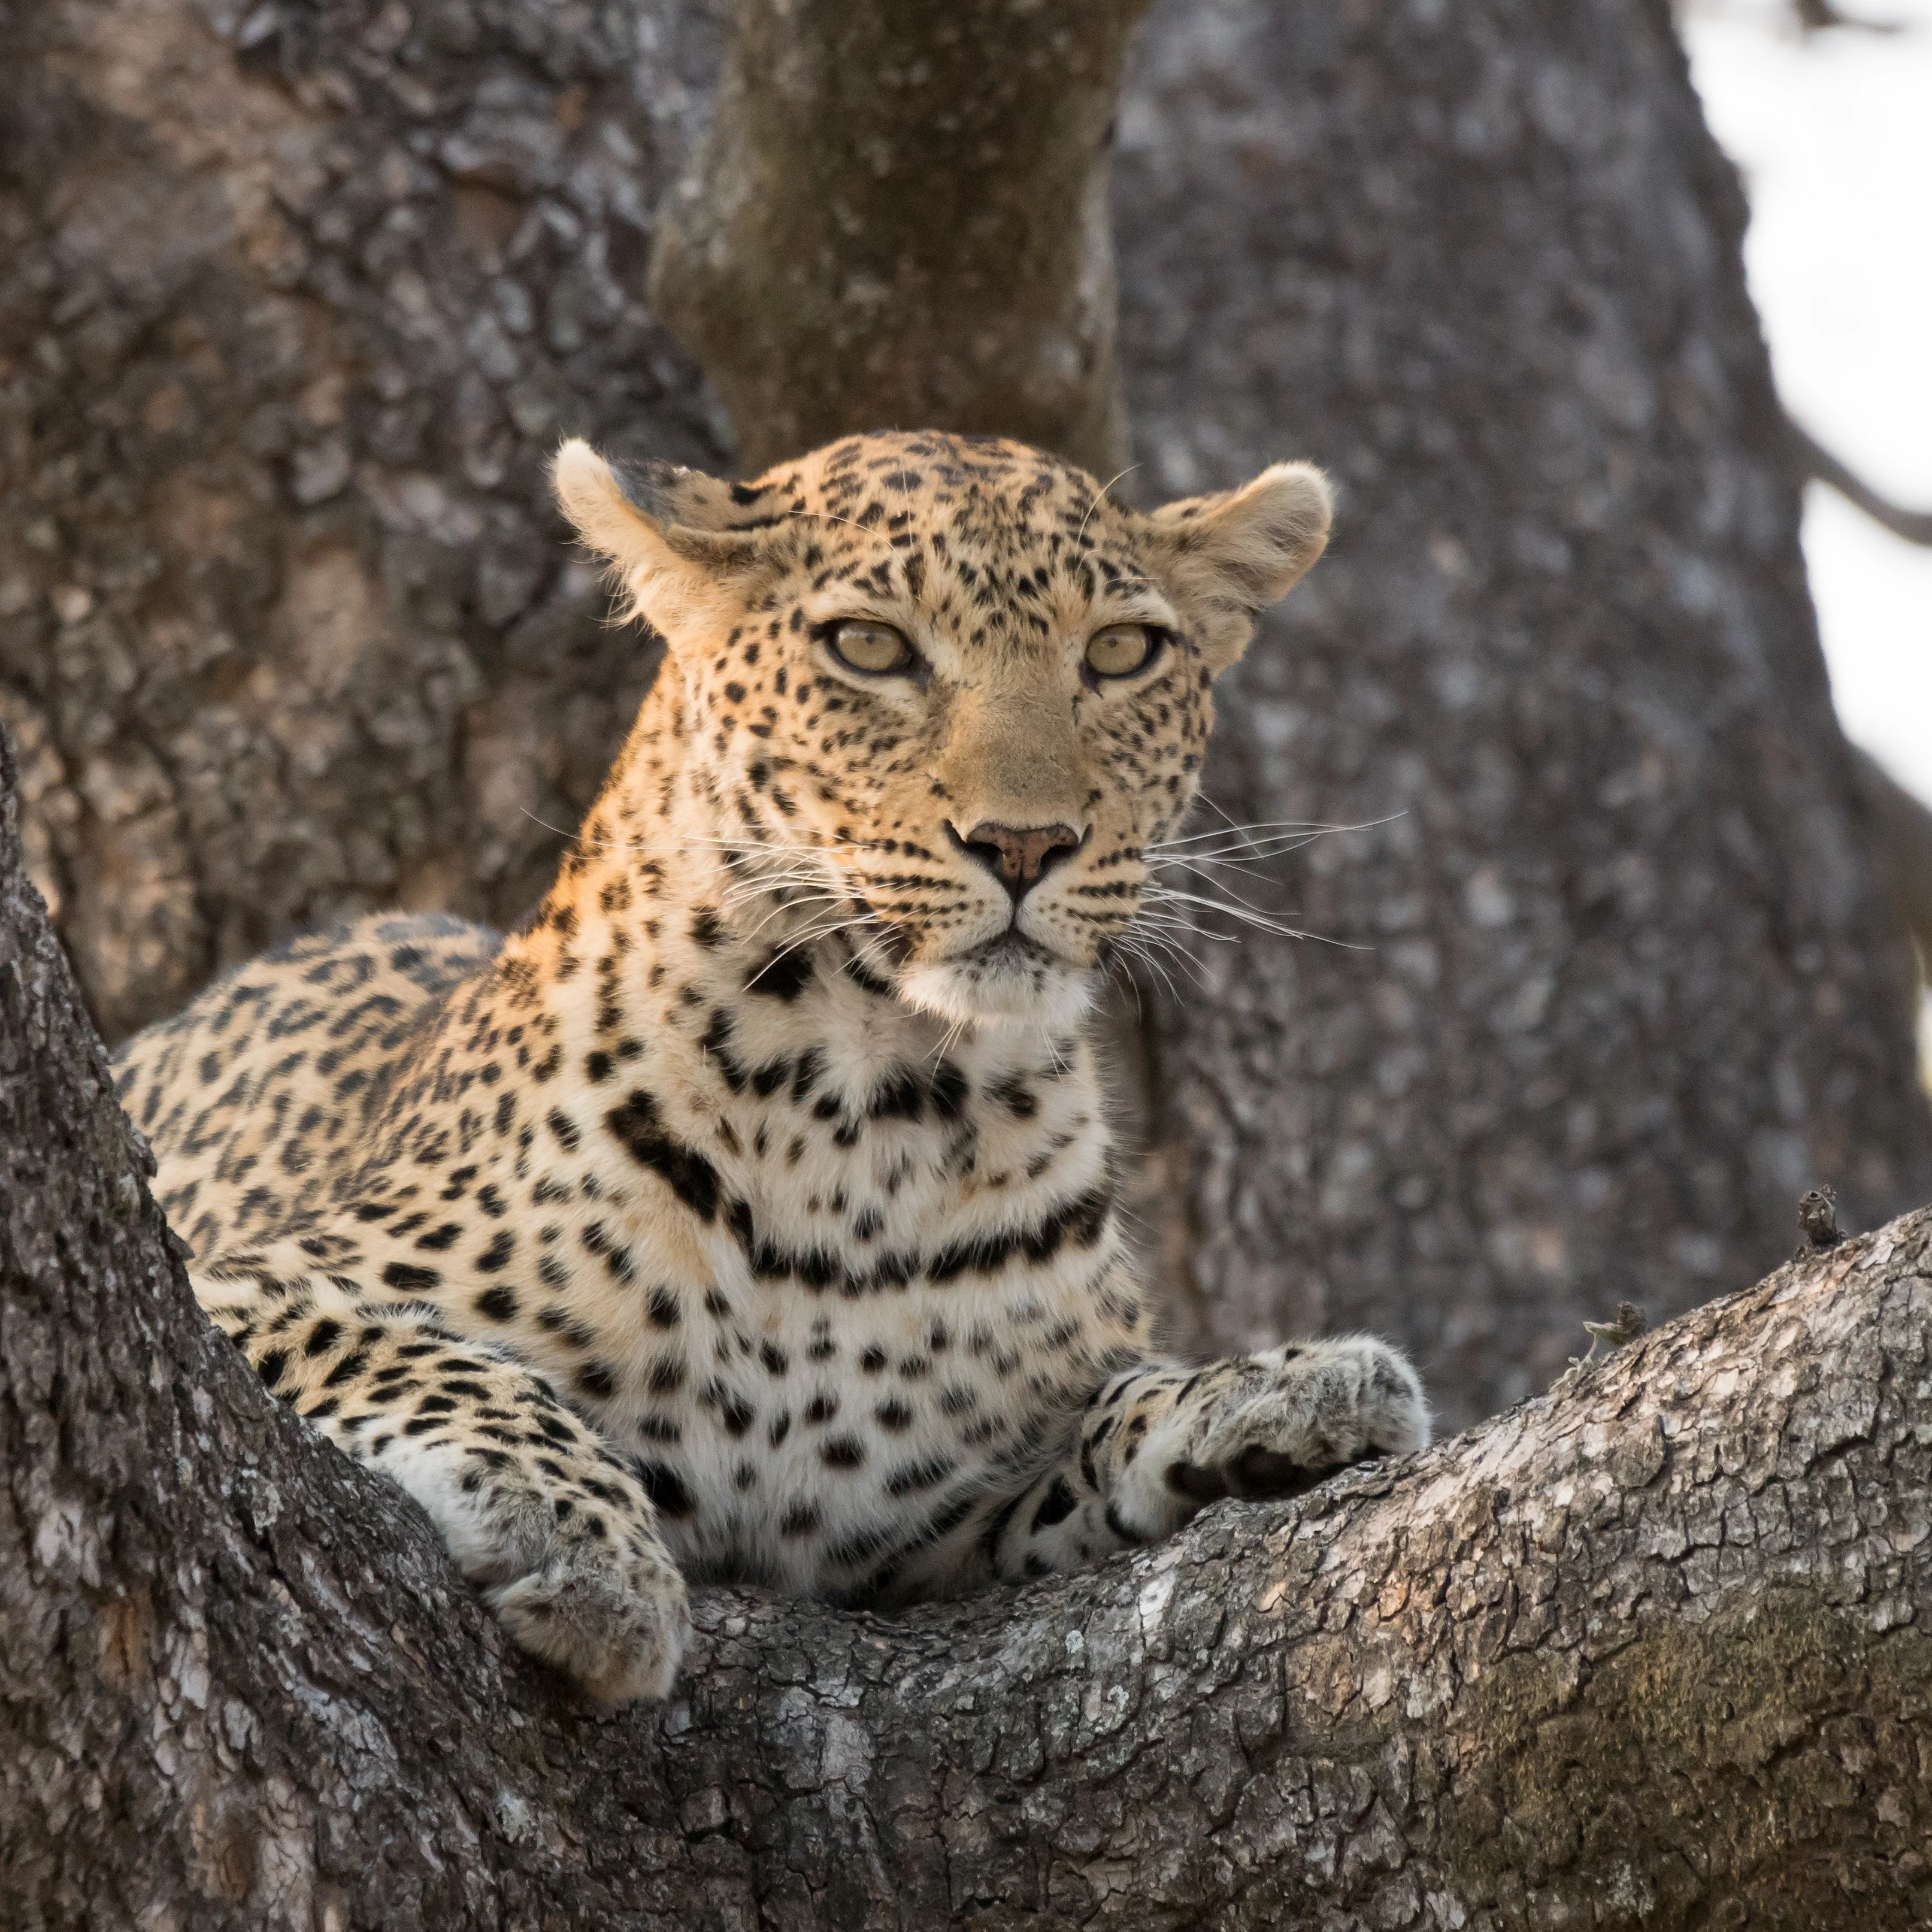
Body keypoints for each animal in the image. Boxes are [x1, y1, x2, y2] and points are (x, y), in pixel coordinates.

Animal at [112, 429, 1430, 1702]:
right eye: (869, 646)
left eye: (1117, 654)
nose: (1025, 843)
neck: (873, 1109)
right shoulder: (234, 1287)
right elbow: (438, 1357)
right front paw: (595, 1553)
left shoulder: (907, 1537)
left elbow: (1100, 1409)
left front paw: (1277, 1392)